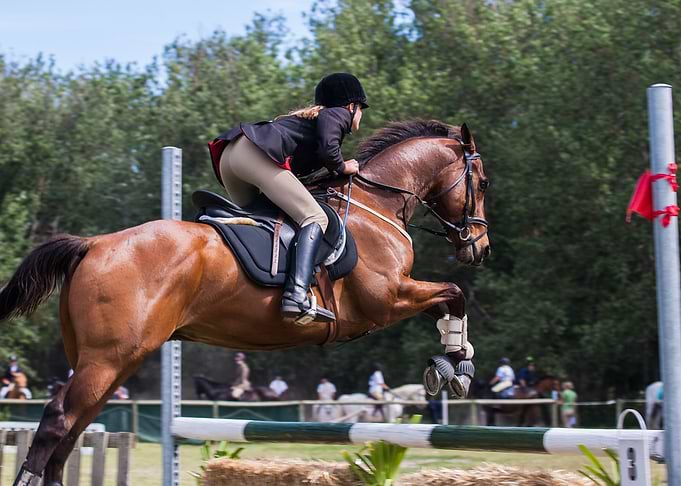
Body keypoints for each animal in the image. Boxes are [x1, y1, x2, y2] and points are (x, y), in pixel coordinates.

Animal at [0, 120, 490, 485]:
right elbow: (453, 293)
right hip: (107, 359)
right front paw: (455, 366)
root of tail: (94, 244)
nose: (479, 248)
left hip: (111, 361)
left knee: (74, 428)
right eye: (482, 182)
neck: (377, 205)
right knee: (59, 420)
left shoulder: (394, 298)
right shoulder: (385, 300)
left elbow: (447, 301)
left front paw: (456, 359)